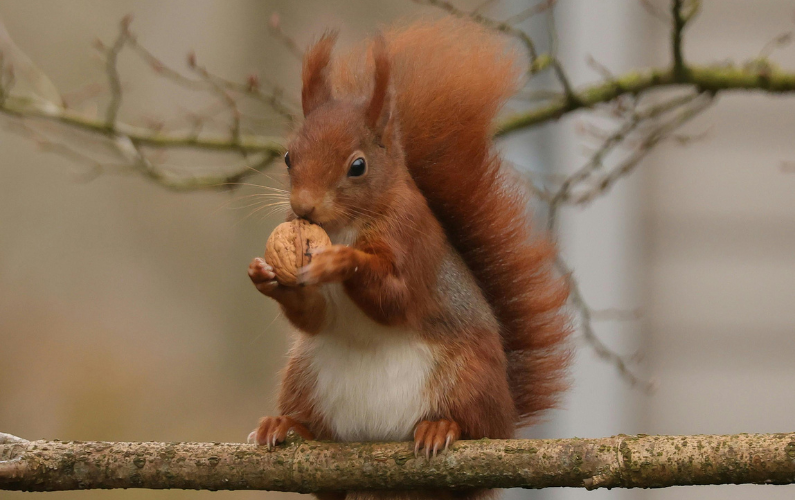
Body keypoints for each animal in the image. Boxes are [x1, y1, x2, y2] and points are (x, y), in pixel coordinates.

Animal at [247, 17, 571, 500]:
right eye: (288, 157)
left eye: (358, 166)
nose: (303, 207)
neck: (345, 225)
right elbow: (313, 316)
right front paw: (265, 274)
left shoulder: (412, 237)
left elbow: (396, 297)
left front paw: (341, 260)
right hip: (303, 378)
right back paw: (287, 426)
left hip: (469, 380)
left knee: (475, 428)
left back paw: (443, 428)